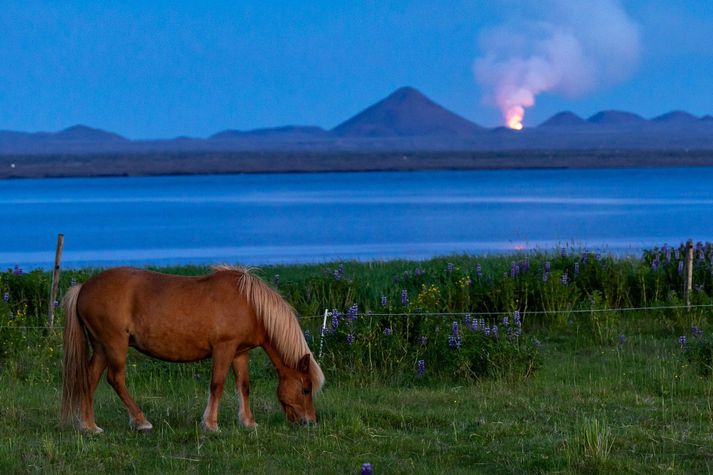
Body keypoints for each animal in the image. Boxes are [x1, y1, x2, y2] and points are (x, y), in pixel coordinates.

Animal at [61, 266, 322, 434]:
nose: (310, 422)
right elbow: (217, 385)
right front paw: (211, 425)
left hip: (101, 348)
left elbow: (244, 387)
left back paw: (89, 427)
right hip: (115, 345)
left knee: (89, 379)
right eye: (306, 389)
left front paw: (248, 422)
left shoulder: (239, 352)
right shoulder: (224, 349)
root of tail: (83, 288)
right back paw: (140, 421)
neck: (250, 304)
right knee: (115, 379)